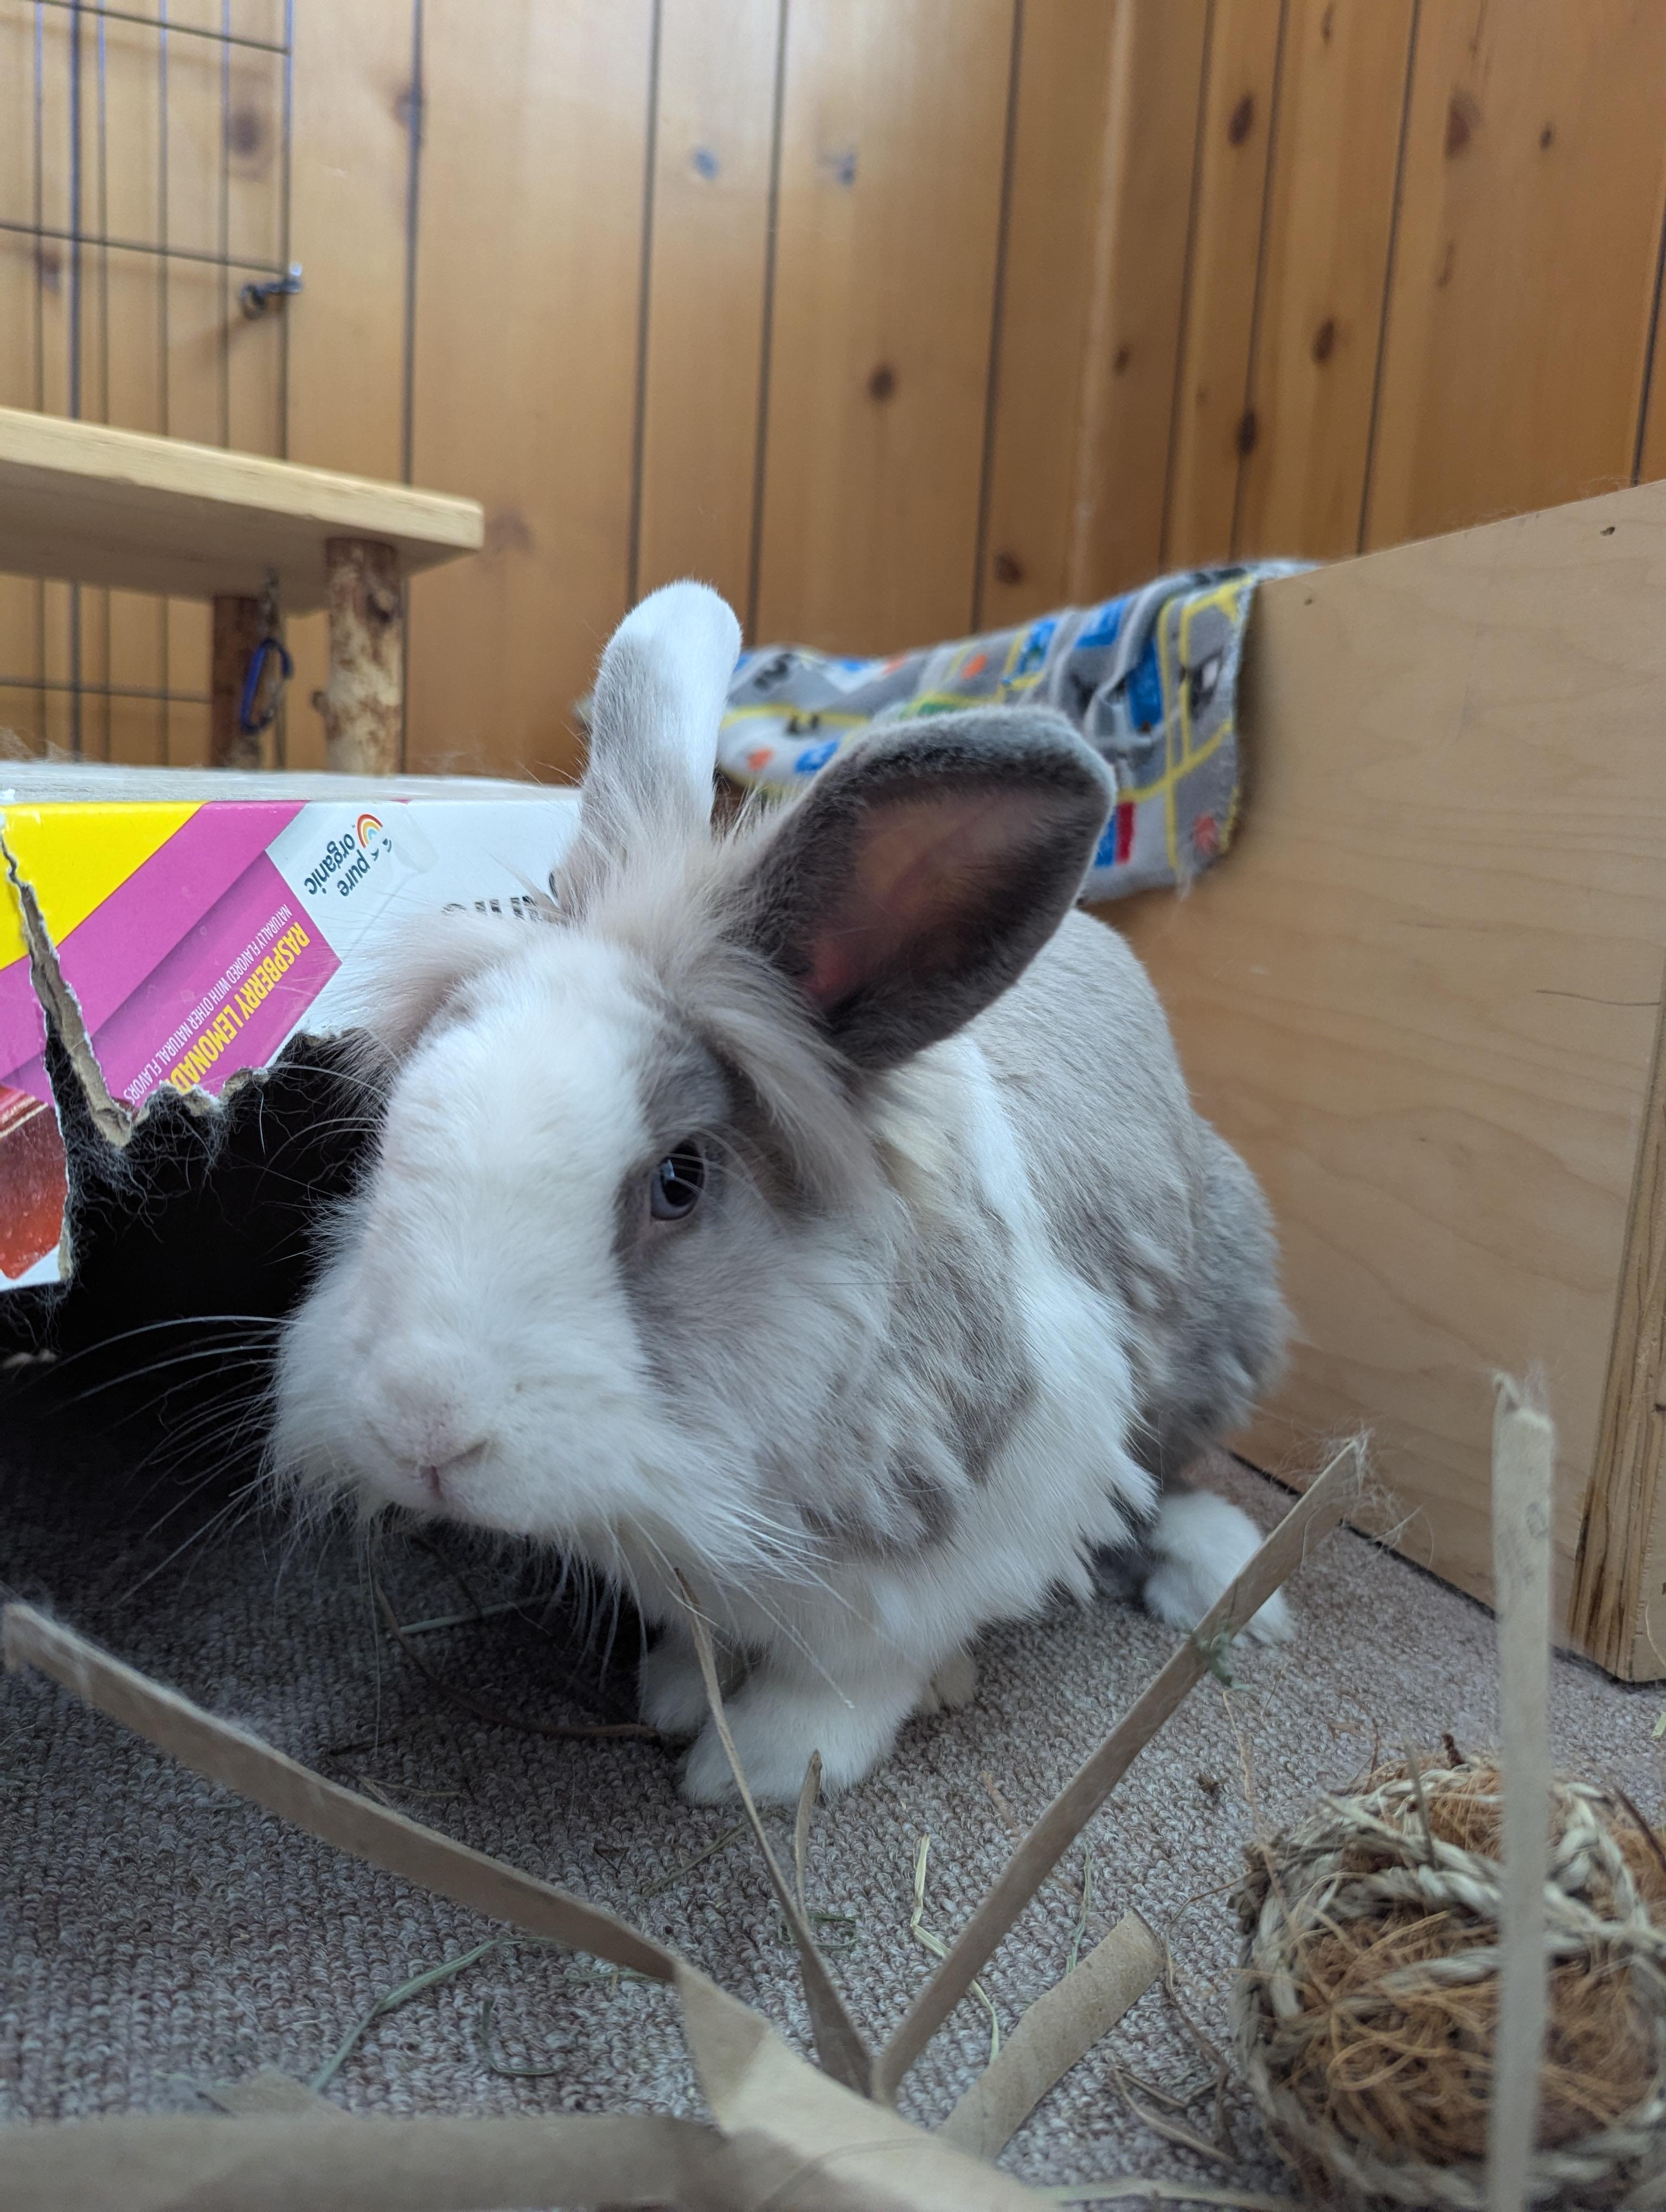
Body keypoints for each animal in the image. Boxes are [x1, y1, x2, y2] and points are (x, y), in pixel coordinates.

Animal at [270, 580, 1290, 1805]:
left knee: (1177, 1470)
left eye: (680, 1179)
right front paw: (673, 1691)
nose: (420, 1427)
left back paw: (1224, 1577)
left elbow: (853, 1675)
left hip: (1221, 1306)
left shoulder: (970, 1523)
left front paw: (750, 1769)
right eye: (399, 1123)